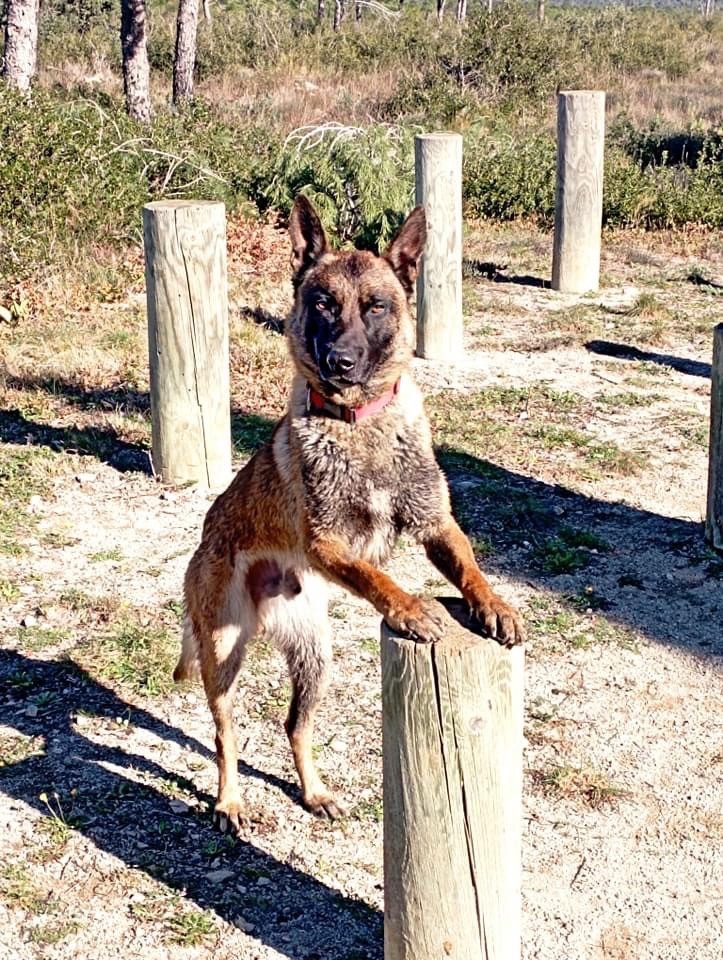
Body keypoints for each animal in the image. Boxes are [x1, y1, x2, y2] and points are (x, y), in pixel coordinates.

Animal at [175, 197, 528, 832]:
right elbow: (375, 576)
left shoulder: (436, 524)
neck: (361, 424)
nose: (340, 361)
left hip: (316, 658)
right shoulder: (326, 545)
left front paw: (494, 605)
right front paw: (410, 607)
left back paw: (315, 792)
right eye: (322, 303)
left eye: (376, 307)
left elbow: (468, 566)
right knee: (224, 732)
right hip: (222, 651)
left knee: (294, 724)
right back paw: (230, 800)